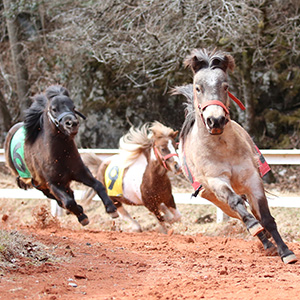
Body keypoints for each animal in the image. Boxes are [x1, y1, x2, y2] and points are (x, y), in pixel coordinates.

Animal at [4, 84, 117, 225]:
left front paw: (111, 208)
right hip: (41, 185)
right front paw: (82, 216)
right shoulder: (52, 183)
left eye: (73, 107)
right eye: (54, 109)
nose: (72, 124)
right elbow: (68, 202)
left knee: (69, 193)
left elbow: (98, 185)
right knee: (59, 199)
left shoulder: (79, 172)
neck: (61, 155)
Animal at [175, 48, 296, 264]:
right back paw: (264, 241)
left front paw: (286, 252)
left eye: (226, 86)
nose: (215, 120)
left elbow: (266, 217)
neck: (222, 148)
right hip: (215, 199)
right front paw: (257, 229)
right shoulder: (216, 181)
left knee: (254, 212)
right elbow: (239, 205)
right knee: (240, 213)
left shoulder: (252, 179)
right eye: (198, 88)